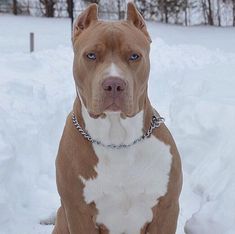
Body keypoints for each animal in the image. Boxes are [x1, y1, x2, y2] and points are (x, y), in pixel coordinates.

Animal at [52, 2, 183, 234]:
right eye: (91, 55)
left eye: (134, 56)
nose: (114, 84)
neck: (117, 139)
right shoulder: (77, 212)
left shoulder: (166, 209)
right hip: (61, 217)